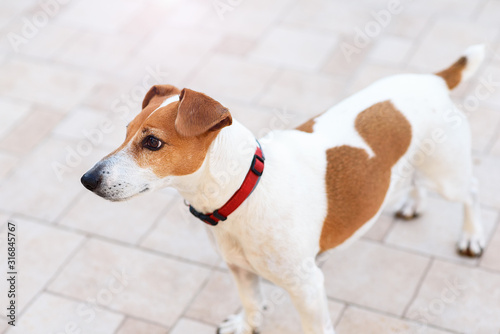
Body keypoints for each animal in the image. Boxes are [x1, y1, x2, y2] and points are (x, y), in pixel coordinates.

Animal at [81, 45, 484, 334]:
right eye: (126, 131)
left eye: (152, 143)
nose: (87, 179)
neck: (243, 193)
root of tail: (434, 79)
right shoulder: (240, 270)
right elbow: (251, 304)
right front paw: (246, 325)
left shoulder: (307, 287)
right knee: (415, 181)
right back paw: (412, 202)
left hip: (448, 175)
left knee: (470, 193)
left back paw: (471, 236)